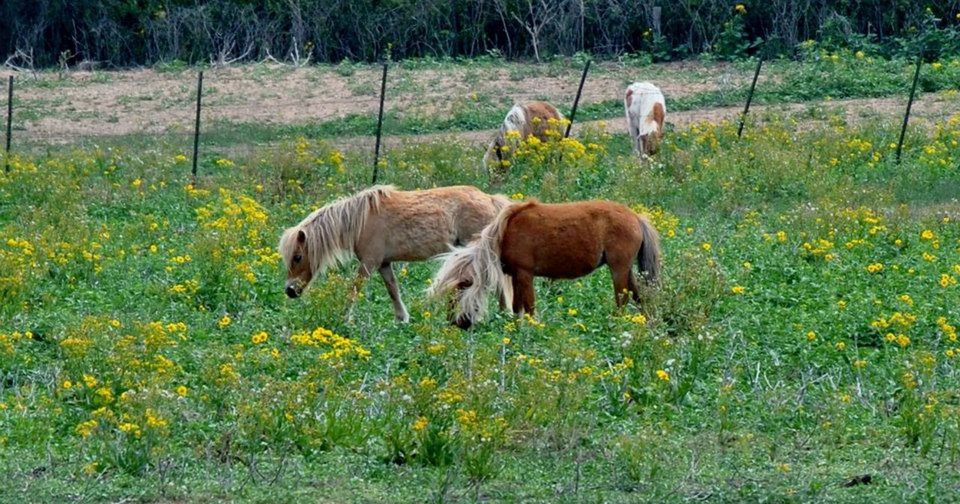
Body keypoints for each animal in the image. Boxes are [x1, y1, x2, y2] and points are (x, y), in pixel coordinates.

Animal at [280, 186, 510, 322]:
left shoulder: (369, 263)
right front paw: (402, 318)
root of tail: (490, 199)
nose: (290, 291)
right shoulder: (383, 264)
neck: (360, 220)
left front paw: (345, 318)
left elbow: (354, 289)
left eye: (298, 257)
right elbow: (393, 290)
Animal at [434, 199, 664, 328]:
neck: (504, 233)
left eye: (454, 296)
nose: (454, 325)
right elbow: (517, 307)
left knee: (622, 299)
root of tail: (636, 217)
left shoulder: (525, 274)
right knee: (639, 297)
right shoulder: (516, 277)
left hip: (618, 269)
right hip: (627, 270)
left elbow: (529, 307)